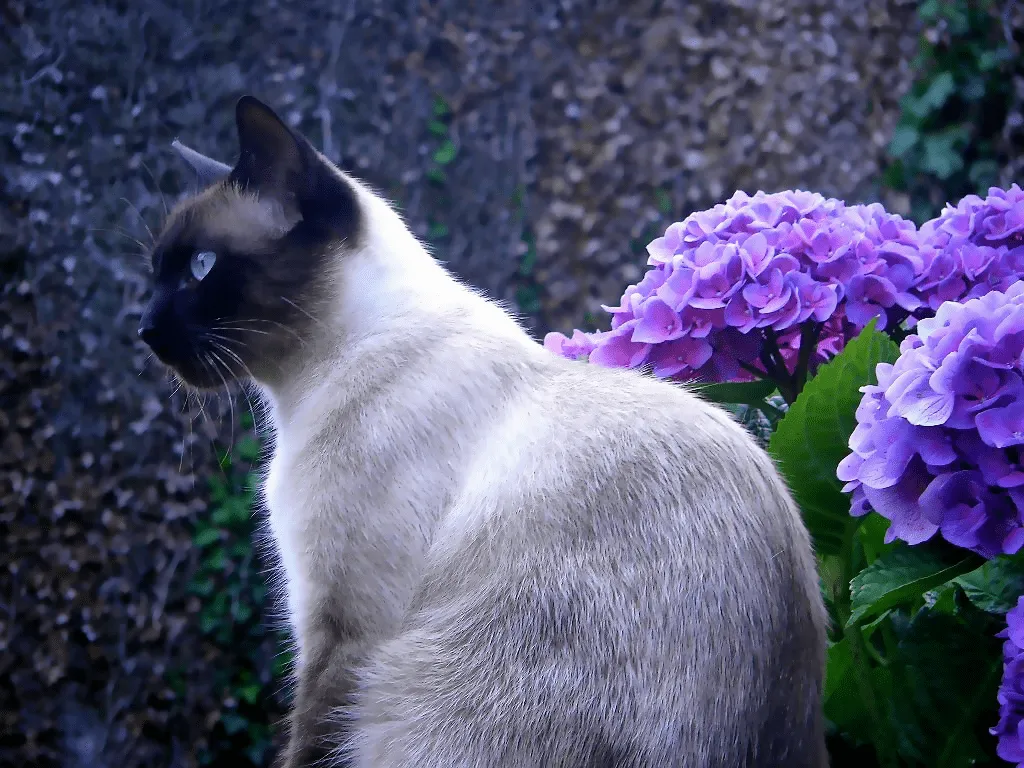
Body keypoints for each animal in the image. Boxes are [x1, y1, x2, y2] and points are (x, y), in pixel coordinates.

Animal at [140, 96, 831, 768]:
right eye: (156, 272)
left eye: (201, 266)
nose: (144, 329)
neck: (307, 385)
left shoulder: (343, 627)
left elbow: (307, 741)